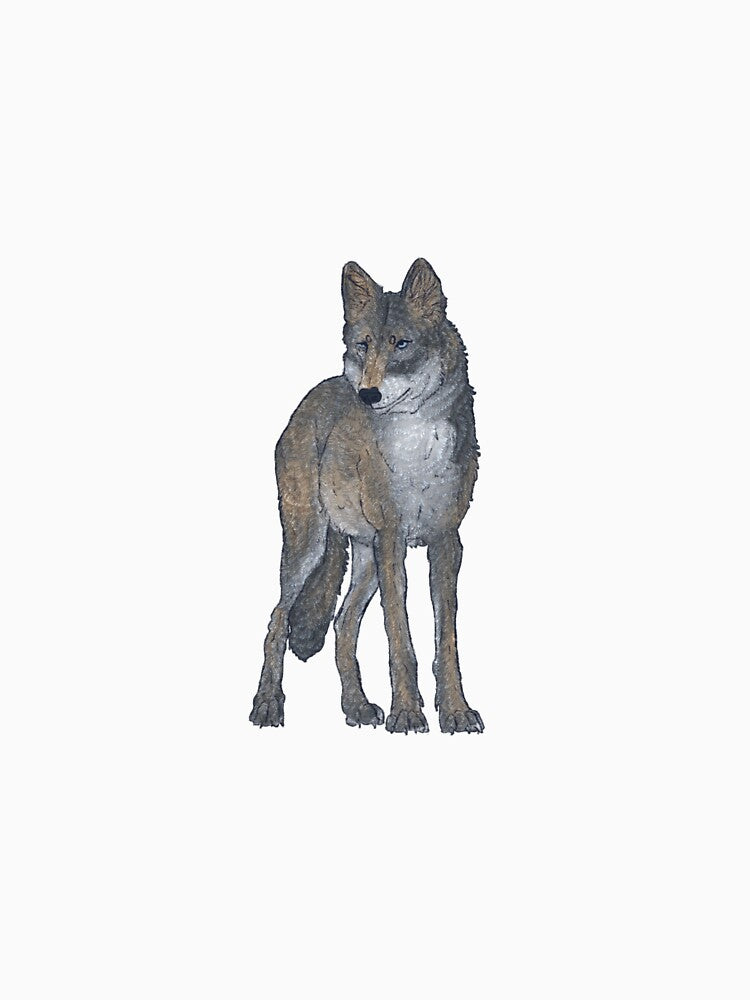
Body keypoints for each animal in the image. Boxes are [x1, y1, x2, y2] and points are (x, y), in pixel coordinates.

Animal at [249, 258, 483, 734]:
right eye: (364, 346)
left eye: (402, 344)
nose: (368, 394)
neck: (418, 447)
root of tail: (316, 392)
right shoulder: (393, 538)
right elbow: (401, 638)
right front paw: (407, 713)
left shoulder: (446, 540)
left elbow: (445, 642)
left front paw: (454, 711)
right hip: (310, 546)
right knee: (277, 620)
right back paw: (267, 706)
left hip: (366, 557)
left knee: (342, 624)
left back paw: (356, 707)